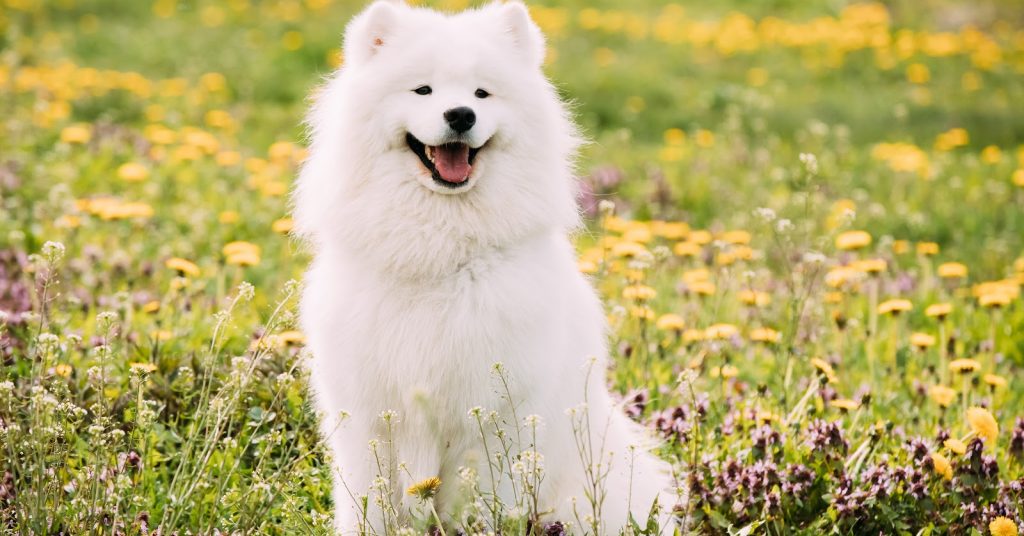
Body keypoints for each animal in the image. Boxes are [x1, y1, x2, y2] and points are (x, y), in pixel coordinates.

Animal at [294, 2, 679, 532]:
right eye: (423, 89)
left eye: (482, 92)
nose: (460, 114)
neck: (441, 249)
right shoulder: (367, 417)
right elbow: (368, 506)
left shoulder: (494, 418)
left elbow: (478, 500)